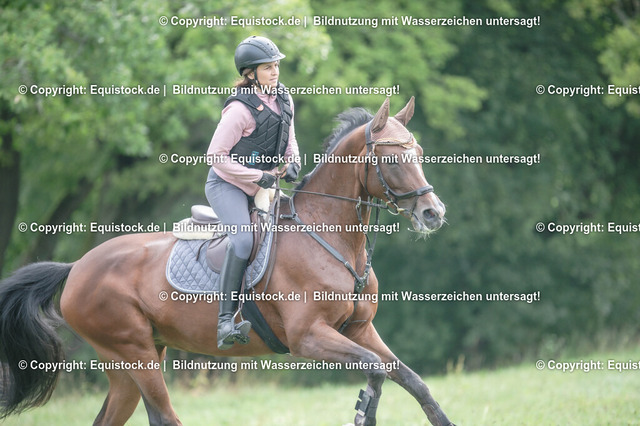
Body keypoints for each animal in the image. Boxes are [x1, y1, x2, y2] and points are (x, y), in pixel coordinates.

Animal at [0, 97, 454, 426]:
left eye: (419, 150)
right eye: (392, 158)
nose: (434, 213)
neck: (331, 239)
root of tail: (76, 267)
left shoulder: (360, 330)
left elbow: (414, 383)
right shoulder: (309, 337)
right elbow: (375, 371)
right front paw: (363, 412)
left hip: (132, 362)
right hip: (133, 352)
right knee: (164, 417)